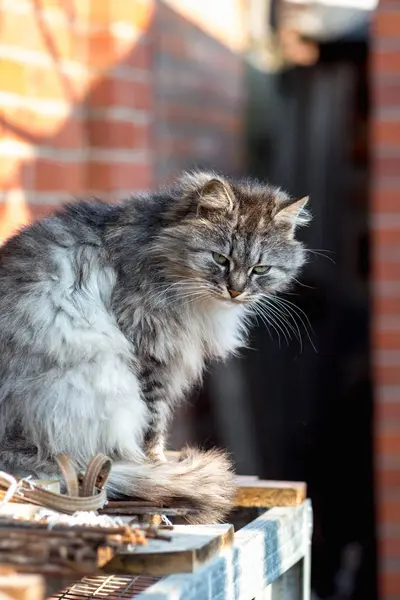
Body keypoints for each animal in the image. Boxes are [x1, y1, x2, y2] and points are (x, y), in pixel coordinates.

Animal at [0, 171, 310, 524]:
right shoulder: (149, 353)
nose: (236, 291)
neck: (158, 249)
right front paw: (156, 462)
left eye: (261, 269)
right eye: (220, 259)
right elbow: (153, 423)